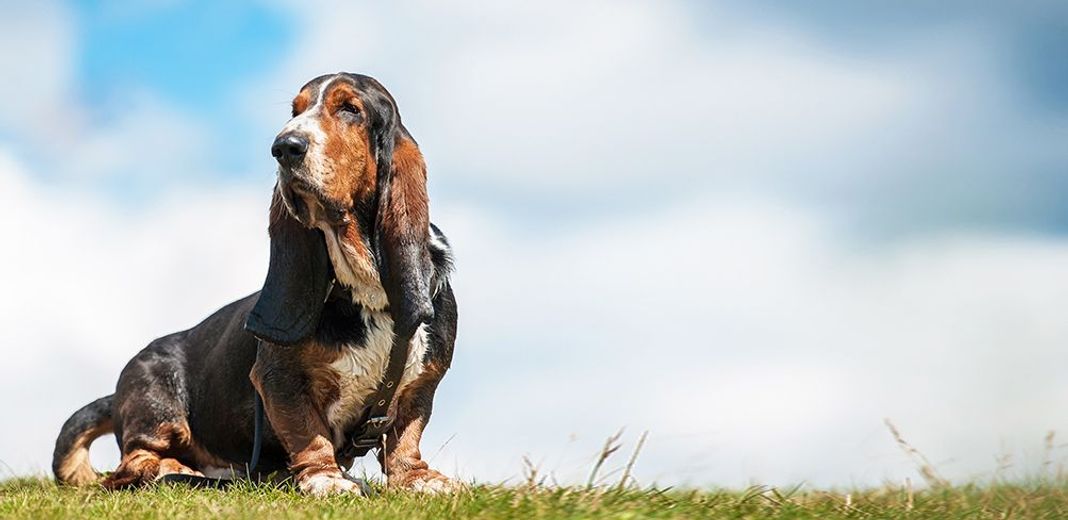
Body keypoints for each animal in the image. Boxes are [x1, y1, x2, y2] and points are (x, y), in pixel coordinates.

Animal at [52, 73, 459, 497]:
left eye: (350, 109)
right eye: (295, 111)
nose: (285, 147)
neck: (362, 289)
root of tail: (117, 393)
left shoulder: (423, 383)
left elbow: (405, 433)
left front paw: (419, 478)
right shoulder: (278, 379)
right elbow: (307, 431)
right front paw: (326, 478)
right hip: (157, 403)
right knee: (134, 463)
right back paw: (178, 469)